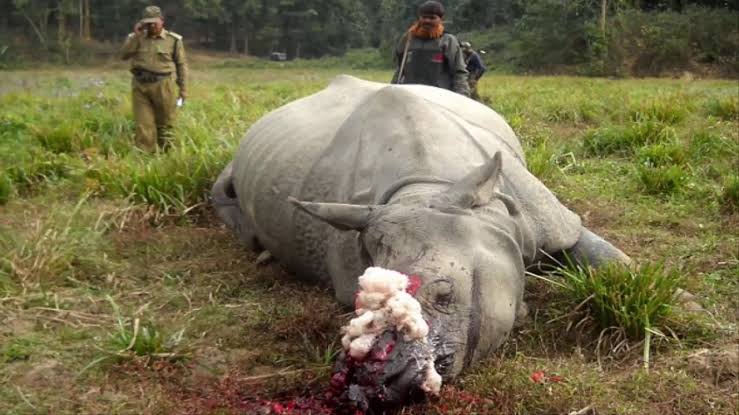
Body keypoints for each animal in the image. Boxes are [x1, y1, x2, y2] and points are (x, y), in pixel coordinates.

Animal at [212, 75, 630, 407]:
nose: (377, 382)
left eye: (445, 295)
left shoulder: (537, 210)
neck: (428, 184)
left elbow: (610, 262)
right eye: (357, 307)